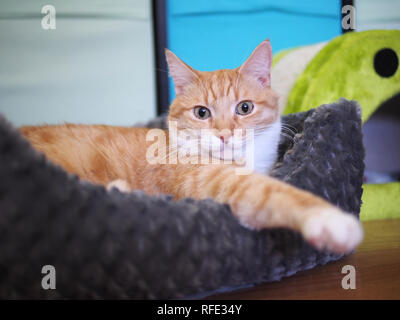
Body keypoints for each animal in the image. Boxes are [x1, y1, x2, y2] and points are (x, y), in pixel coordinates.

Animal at [21, 39, 362, 252]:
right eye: (201, 113)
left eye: (245, 108)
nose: (224, 134)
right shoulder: (213, 181)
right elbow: (272, 193)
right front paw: (330, 221)